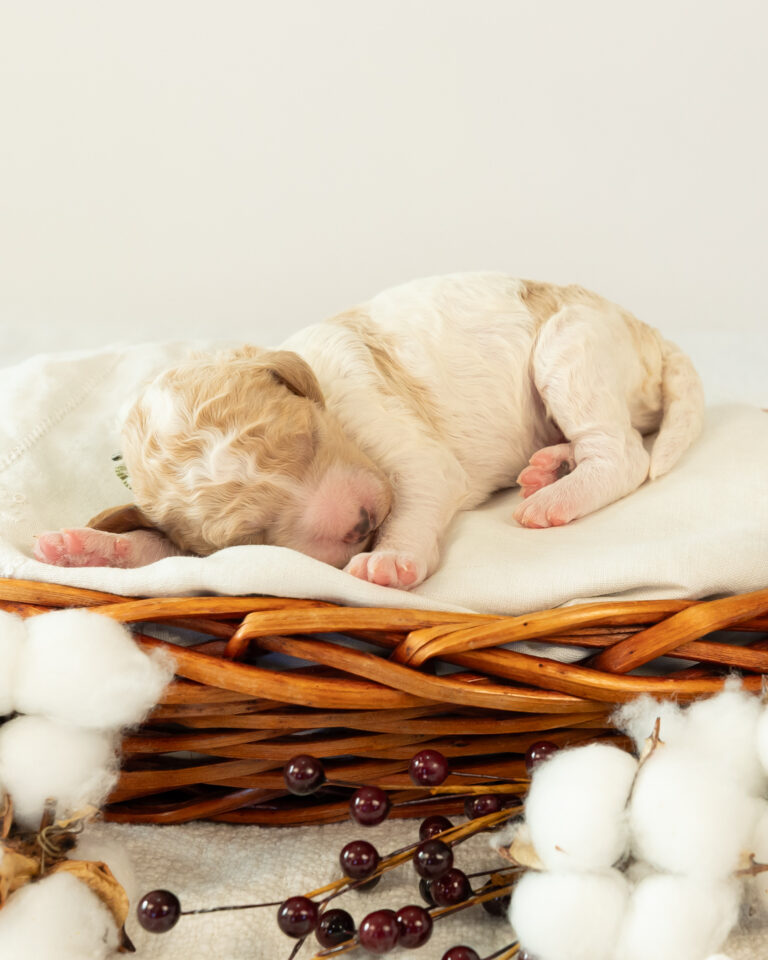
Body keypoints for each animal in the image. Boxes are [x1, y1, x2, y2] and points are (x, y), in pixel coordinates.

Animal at [34, 273, 705, 589]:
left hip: (571, 345)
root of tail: (644, 330)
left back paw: (556, 498)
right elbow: (163, 549)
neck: (328, 404)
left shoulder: (392, 432)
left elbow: (416, 497)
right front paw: (89, 547)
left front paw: (389, 560)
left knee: (621, 454)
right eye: (250, 533)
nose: (358, 524)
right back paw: (548, 468)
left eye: (305, 438)